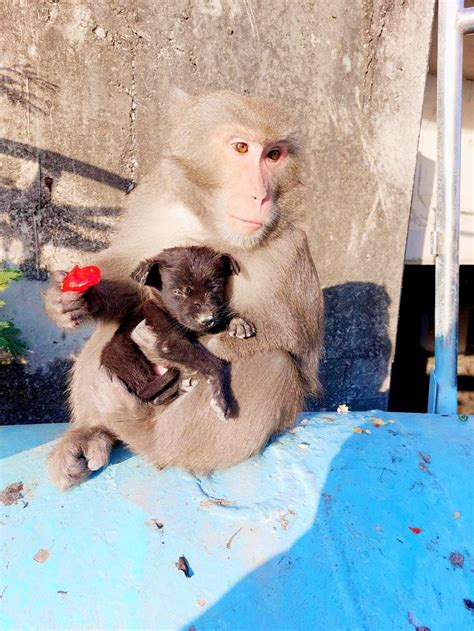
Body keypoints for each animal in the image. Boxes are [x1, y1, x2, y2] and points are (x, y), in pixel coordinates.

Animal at [100, 247, 256, 420]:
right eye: (178, 291)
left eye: (215, 287)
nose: (207, 319)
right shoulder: (168, 341)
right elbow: (214, 363)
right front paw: (220, 397)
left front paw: (238, 322)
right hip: (125, 355)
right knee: (148, 394)